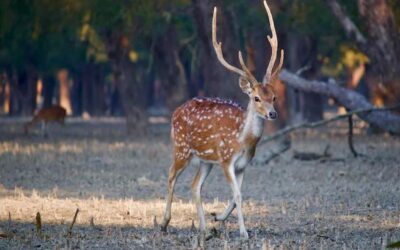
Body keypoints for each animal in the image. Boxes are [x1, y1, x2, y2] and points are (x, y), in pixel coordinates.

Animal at [160, 0, 284, 238]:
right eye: (256, 97)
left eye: (273, 96)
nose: (272, 113)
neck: (243, 141)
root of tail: (175, 112)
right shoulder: (226, 160)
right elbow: (238, 195)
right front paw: (244, 233)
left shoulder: (243, 164)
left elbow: (237, 197)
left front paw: (217, 218)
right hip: (181, 148)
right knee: (171, 175)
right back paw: (164, 223)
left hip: (205, 161)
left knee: (194, 186)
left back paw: (203, 227)